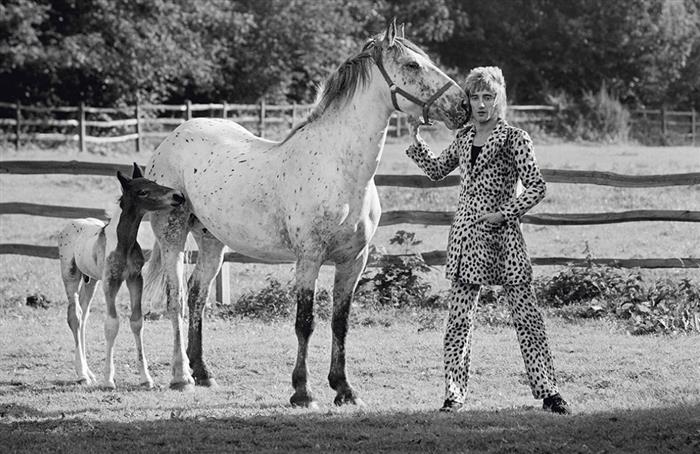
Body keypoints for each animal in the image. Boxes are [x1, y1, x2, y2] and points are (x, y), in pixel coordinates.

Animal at [57, 165, 185, 388]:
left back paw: (89, 373)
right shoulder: (111, 281)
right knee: (75, 316)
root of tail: (72, 223)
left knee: (84, 315)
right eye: (143, 191)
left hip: (91, 281)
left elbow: (136, 322)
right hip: (71, 276)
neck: (123, 243)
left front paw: (145, 378)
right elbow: (112, 324)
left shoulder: (135, 279)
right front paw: (109, 379)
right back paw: (82, 374)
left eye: (154, 182)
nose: (177, 196)